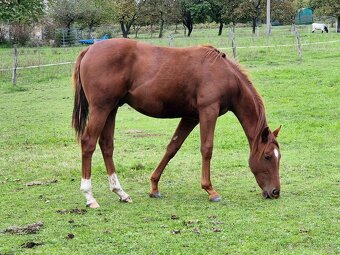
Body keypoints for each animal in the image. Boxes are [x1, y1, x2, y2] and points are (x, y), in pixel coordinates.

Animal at [71, 38, 282, 208]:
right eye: (268, 157)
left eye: (279, 157)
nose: (275, 192)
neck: (224, 74)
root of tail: (89, 49)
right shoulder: (208, 112)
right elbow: (207, 148)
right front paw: (210, 190)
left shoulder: (191, 117)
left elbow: (172, 148)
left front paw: (154, 187)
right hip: (101, 108)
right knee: (88, 143)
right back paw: (89, 197)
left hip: (111, 108)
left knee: (106, 145)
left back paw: (121, 193)